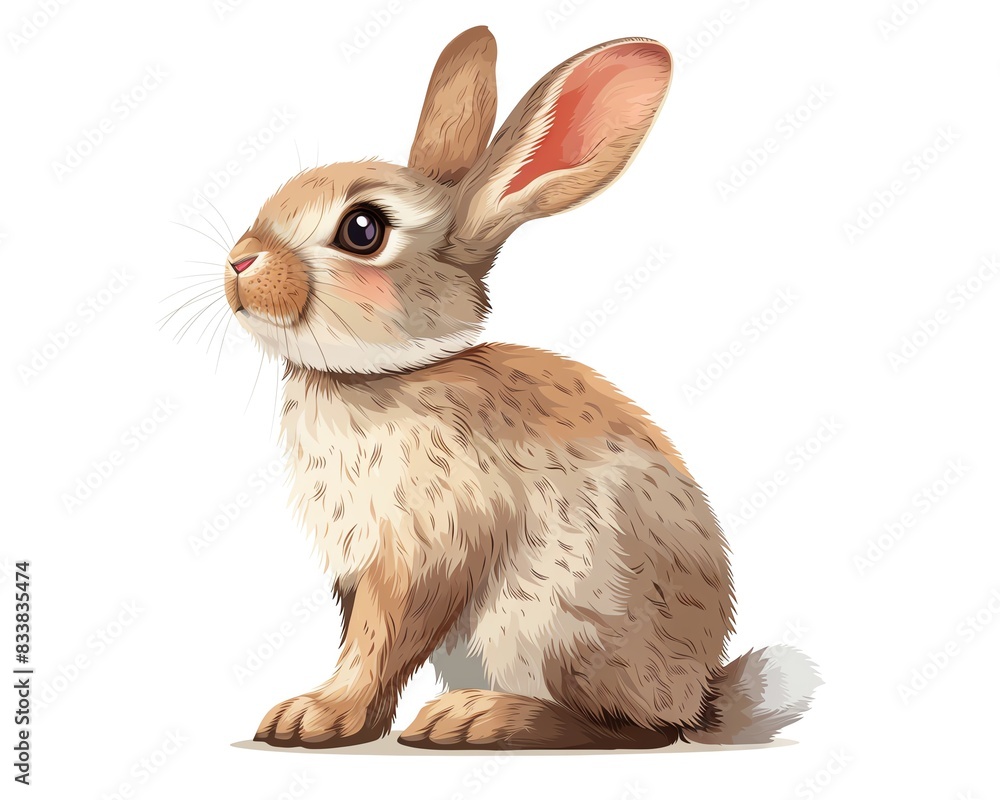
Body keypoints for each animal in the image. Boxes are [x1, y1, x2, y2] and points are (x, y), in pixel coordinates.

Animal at [221, 26, 820, 749]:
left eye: (363, 230)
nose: (238, 263)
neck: (388, 373)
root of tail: (697, 697)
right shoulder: (355, 568)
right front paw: (328, 716)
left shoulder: (427, 549)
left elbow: (380, 640)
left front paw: (319, 715)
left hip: (562, 619)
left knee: (625, 729)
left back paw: (476, 718)